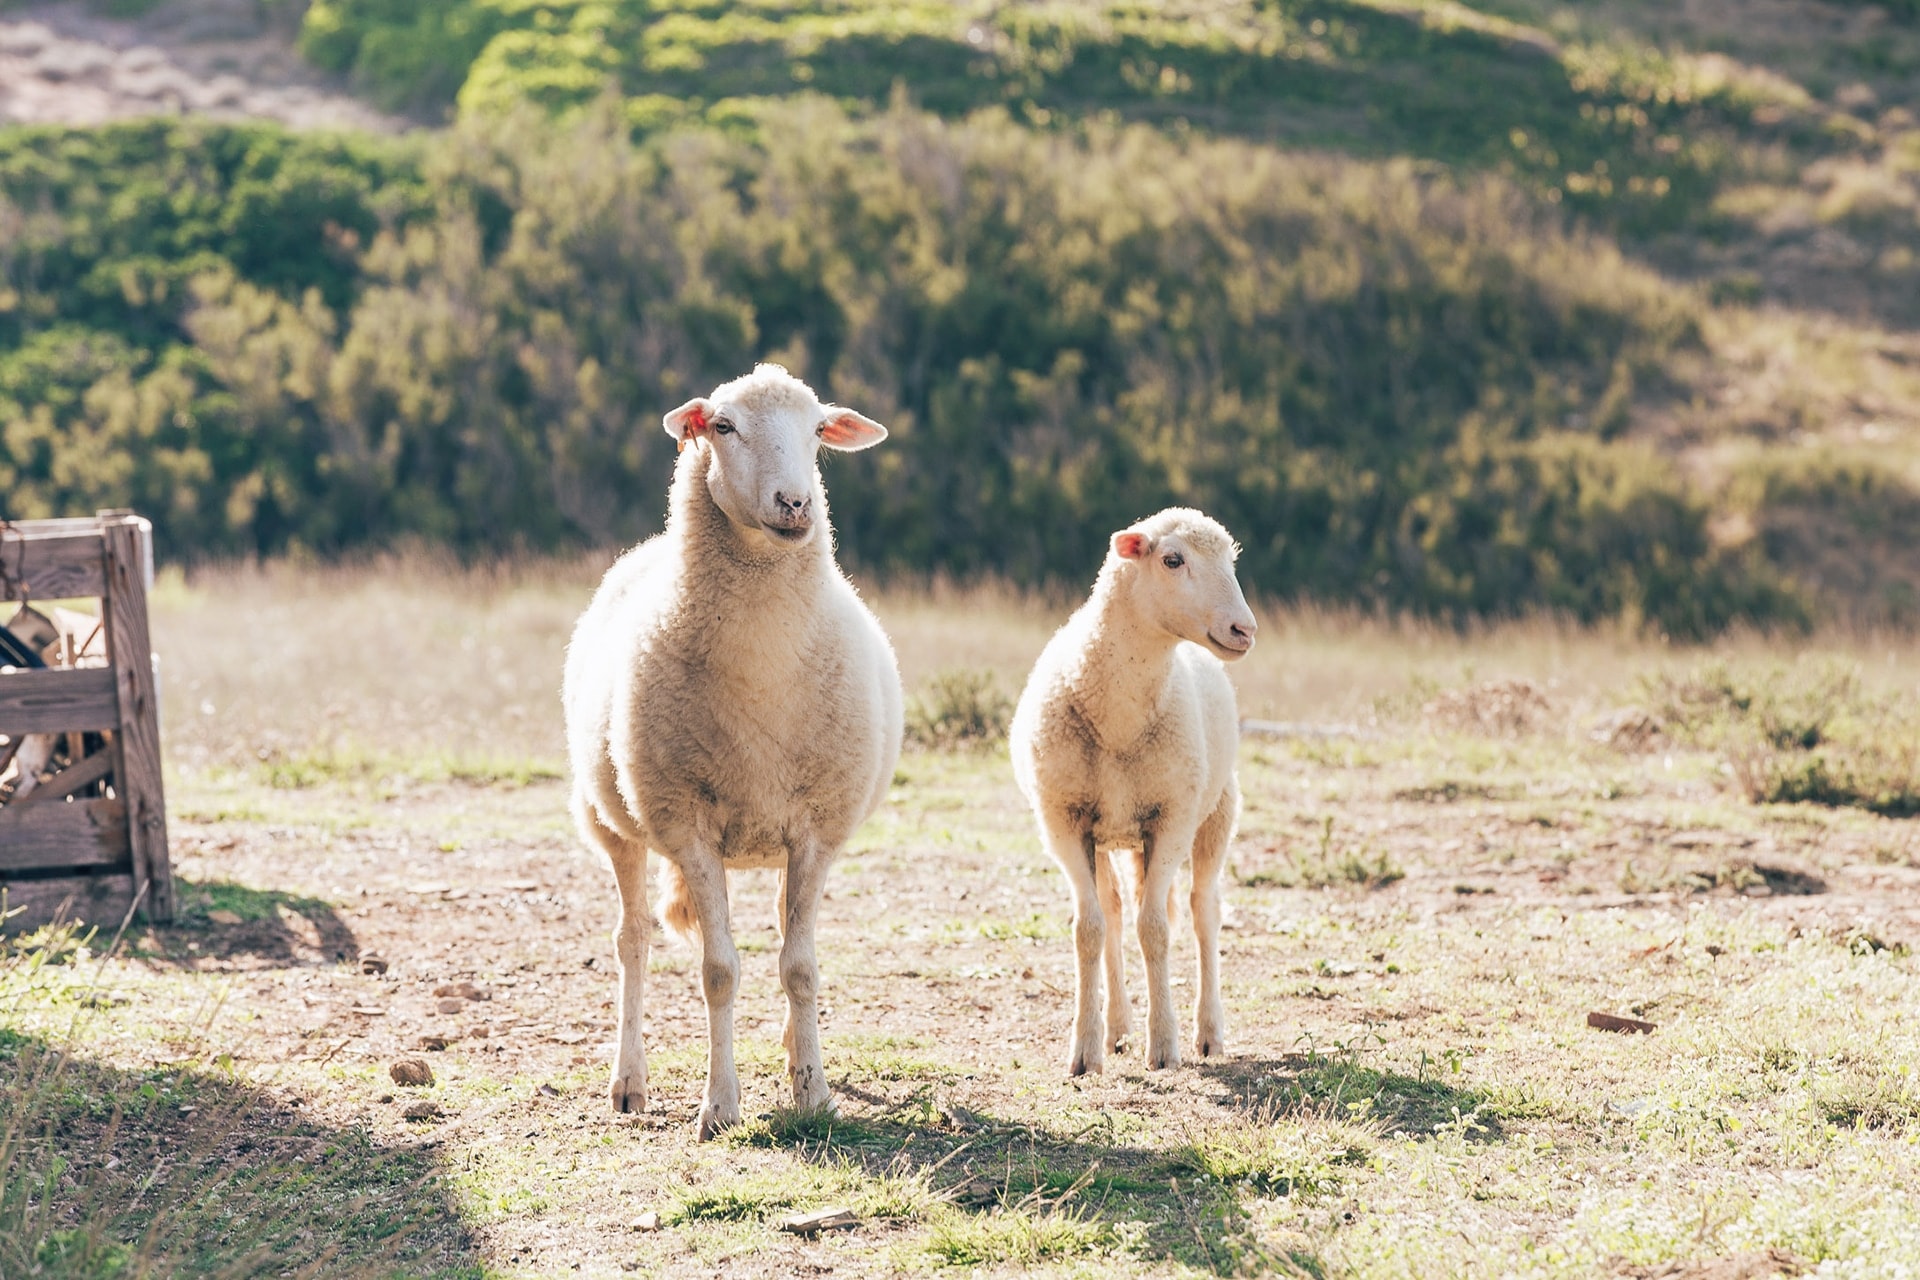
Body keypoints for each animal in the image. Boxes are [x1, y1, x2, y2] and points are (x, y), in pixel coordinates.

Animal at [560, 362, 902, 1143]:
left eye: (818, 430)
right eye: (722, 426)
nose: (796, 503)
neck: (763, 671)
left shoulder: (816, 830)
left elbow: (800, 968)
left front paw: (814, 1093)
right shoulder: (688, 827)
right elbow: (719, 970)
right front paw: (718, 1106)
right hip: (613, 821)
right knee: (632, 940)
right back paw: (629, 1082)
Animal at [1006, 510, 1259, 1082]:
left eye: (1232, 560)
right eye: (1172, 559)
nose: (1245, 629)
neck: (1119, 719)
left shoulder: (1172, 817)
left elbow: (1156, 928)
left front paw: (1164, 1046)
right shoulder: (1063, 822)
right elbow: (1090, 929)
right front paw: (1085, 1050)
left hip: (1215, 811)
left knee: (1201, 909)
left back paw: (1207, 1031)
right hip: (1109, 834)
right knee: (1115, 910)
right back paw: (1117, 1026)